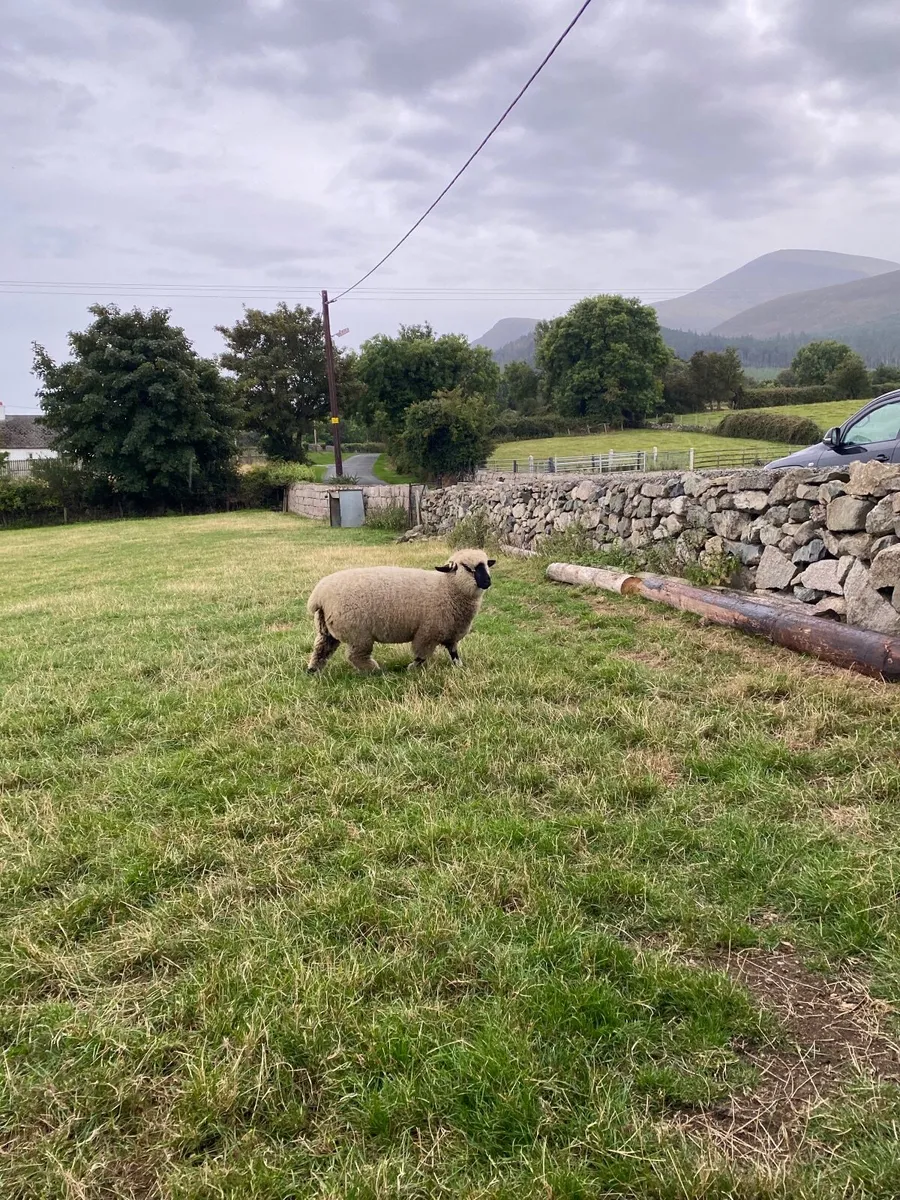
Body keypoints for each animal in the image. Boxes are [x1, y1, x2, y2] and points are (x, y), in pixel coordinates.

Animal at [306, 548, 496, 674]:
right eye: (468, 567)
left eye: (487, 565)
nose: (488, 582)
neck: (447, 588)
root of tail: (318, 596)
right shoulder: (427, 633)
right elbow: (422, 654)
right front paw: (412, 668)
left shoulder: (450, 632)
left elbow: (454, 653)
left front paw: (460, 667)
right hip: (358, 634)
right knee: (356, 656)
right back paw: (375, 671)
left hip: (326, 628)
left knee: (321, 650)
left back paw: (313, 671)